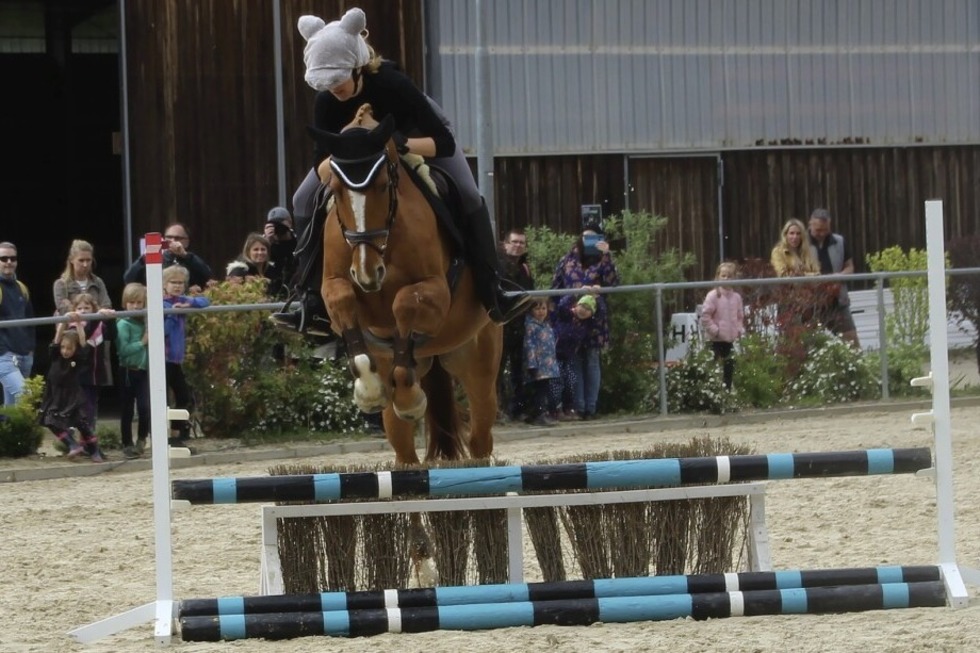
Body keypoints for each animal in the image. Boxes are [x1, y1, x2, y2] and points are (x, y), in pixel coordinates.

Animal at [310, 104, 502, 466]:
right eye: (336, 190)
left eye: (384, 185)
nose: (368, 272)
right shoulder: (335, 285)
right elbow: (344, 301)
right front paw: (369, 392)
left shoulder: (436, 290)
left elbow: (405, 302)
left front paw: (412, 401)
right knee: (403, 445)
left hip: (477, 361)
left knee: (480, 431)